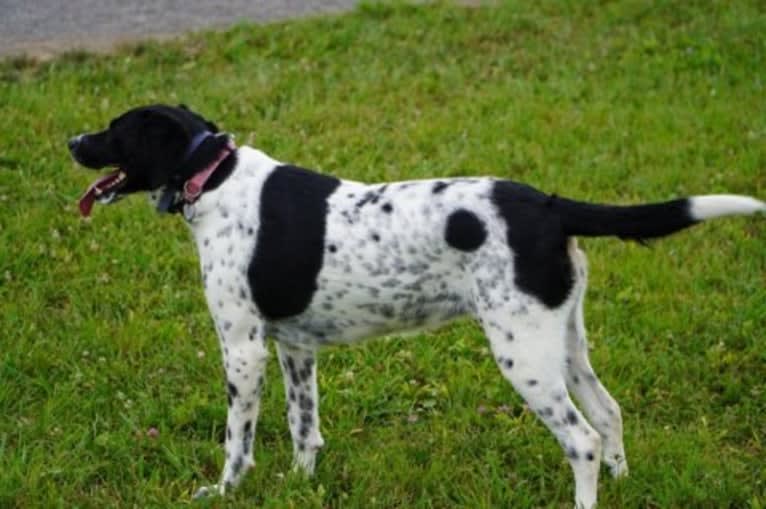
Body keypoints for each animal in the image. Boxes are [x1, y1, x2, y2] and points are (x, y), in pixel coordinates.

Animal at [69, 104, 764, 508]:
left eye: (115, 131)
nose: (73, 139)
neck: (212, 176)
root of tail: (548, 204)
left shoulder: (242, 350)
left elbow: (237, 442)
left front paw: (222, 491)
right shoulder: (294, 347)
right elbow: (304, 429)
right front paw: (300, 487)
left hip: (523, 355)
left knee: (583, 440)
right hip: (564, 342)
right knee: (610, 414)